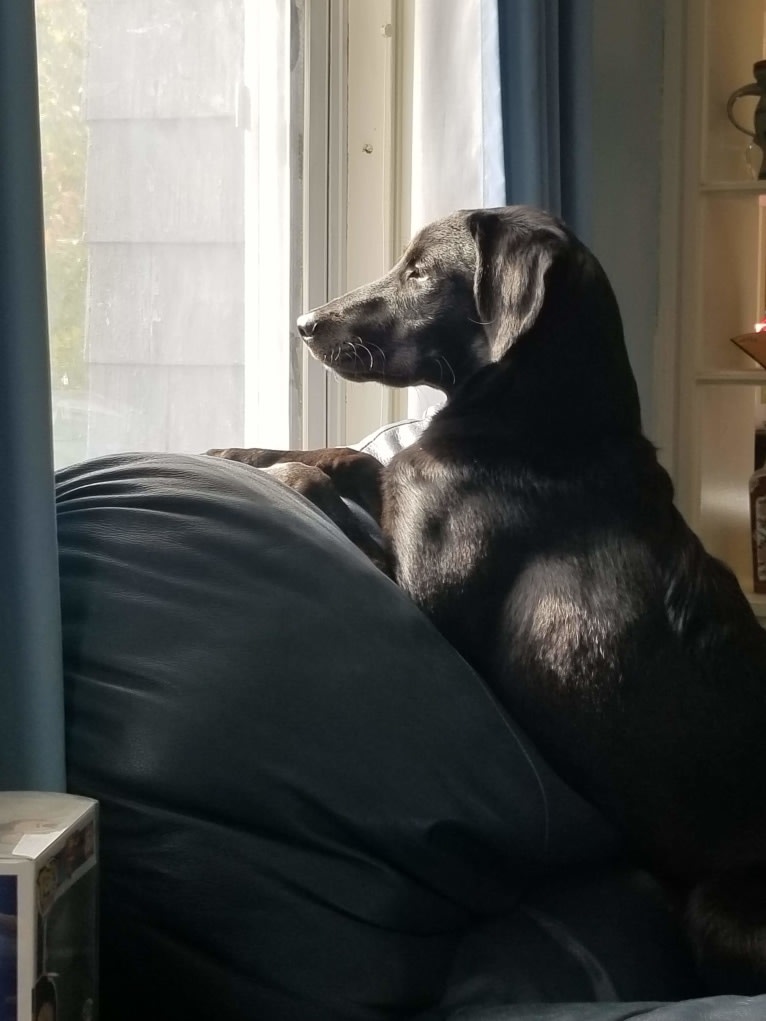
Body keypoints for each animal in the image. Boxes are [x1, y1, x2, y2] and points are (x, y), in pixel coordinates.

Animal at [213, 205, 766, 980]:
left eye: (420, 273)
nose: (303, 323)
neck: (536, 416)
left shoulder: (424, 603)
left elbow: (319, 479)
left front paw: (275, 472)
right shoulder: (403, 483)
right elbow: (348, 456)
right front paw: (241, 452)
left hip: (723, 906)